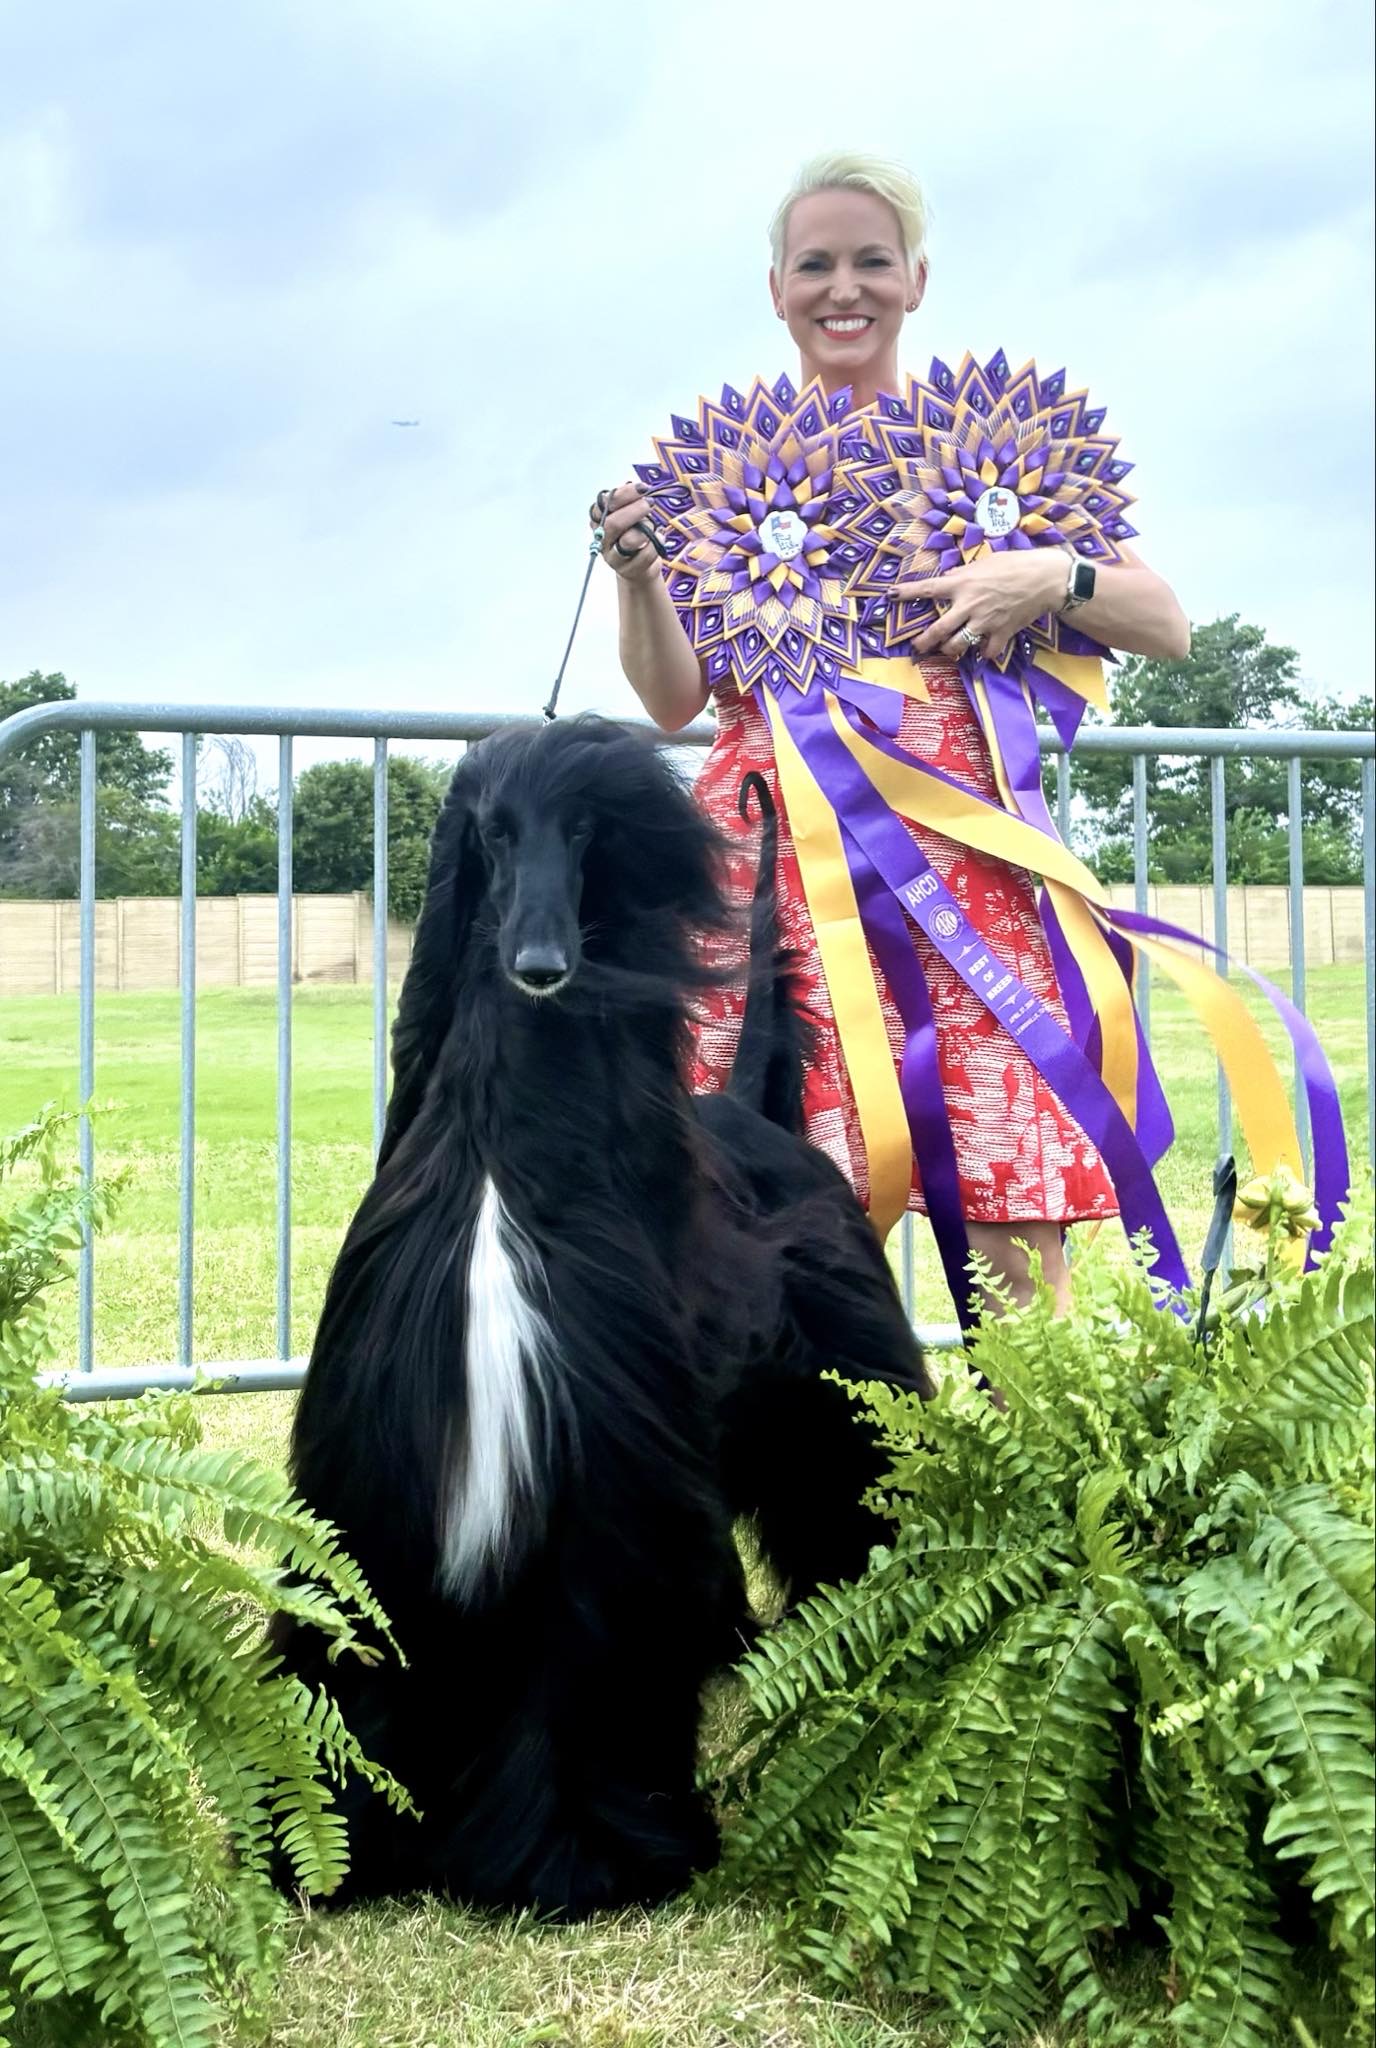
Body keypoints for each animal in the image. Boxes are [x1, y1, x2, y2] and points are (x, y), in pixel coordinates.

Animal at [271, 714, 931, 1918]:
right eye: (491, 829)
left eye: (583, 831)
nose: (538, 968)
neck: (504, 1154)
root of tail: (760, 1116)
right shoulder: (382, 1482)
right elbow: (360, 1654)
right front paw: (336, 1845)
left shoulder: (600, 1500)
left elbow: (586, 1670)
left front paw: (580, 1853)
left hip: (840, 1390)